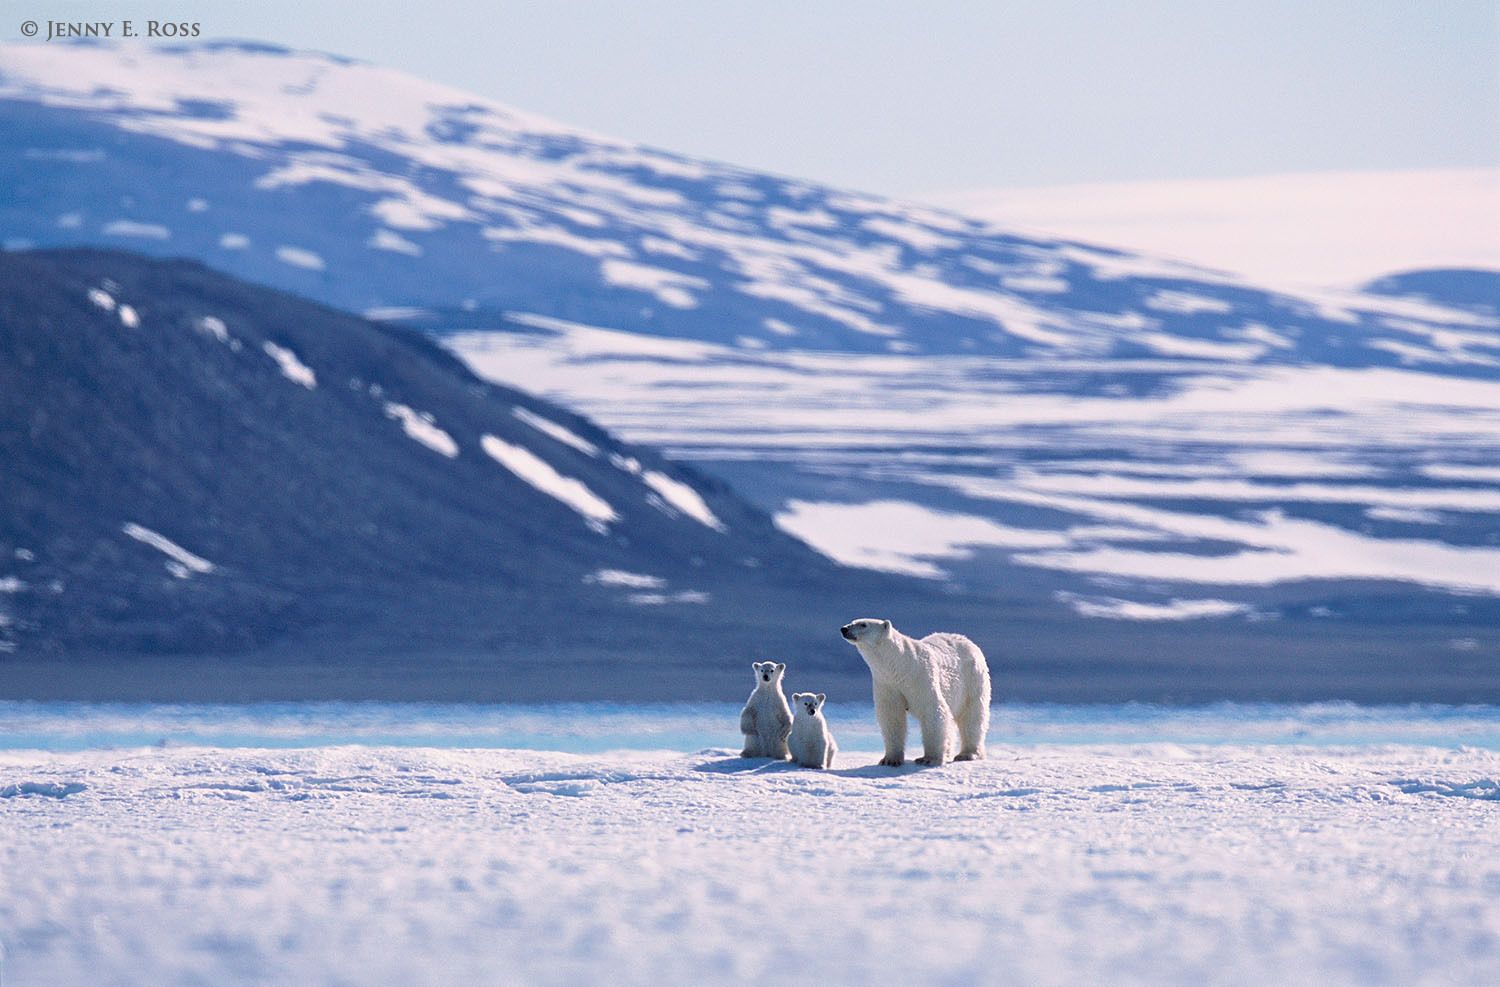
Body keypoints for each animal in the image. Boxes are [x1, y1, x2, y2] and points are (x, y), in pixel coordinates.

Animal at [840, 618, 990, 767]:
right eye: (852, 621)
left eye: (863, 624)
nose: (844, 629)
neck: (900, 665)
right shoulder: (886, 683)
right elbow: (891, 716)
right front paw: (890, 760)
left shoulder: (921, 676)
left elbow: (933, 711)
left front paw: (928, 759)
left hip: (972, 680)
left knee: (972, 716)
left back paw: (967, 754)